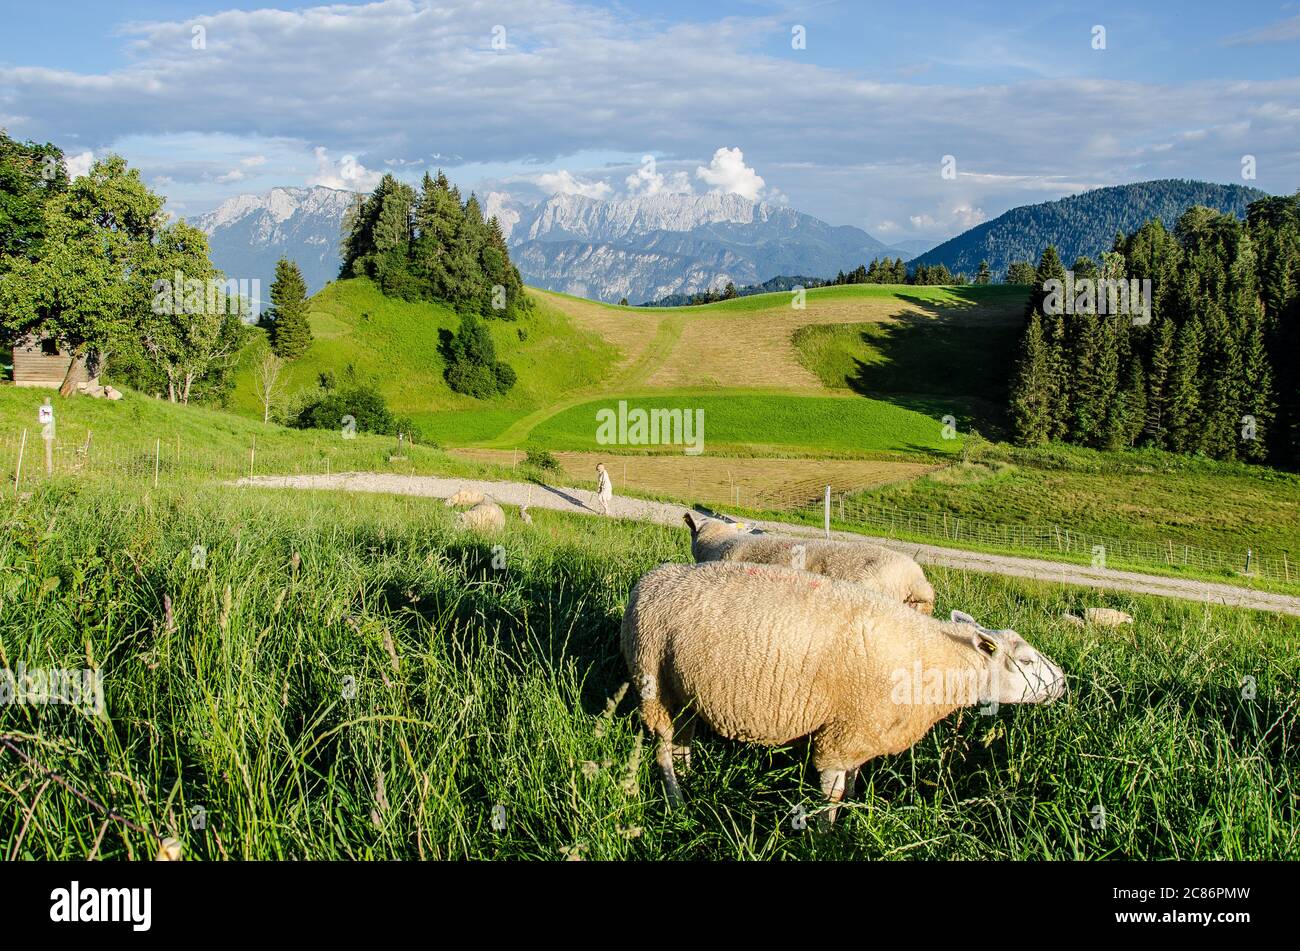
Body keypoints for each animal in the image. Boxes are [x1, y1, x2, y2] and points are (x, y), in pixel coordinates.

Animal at [621, 561, 1066, 821]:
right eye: (1026, 662)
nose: (1063, 682)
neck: (933, 660)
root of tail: (649, 580)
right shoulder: (841, 735)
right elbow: (831, 794)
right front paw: (824, 834)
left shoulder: (863, 730)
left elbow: (852, 781)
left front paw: (851, 812)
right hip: (653, 678)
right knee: (663, 746)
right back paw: (677, 800)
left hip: (682, 689)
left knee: (683, 738)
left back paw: (690, 779)